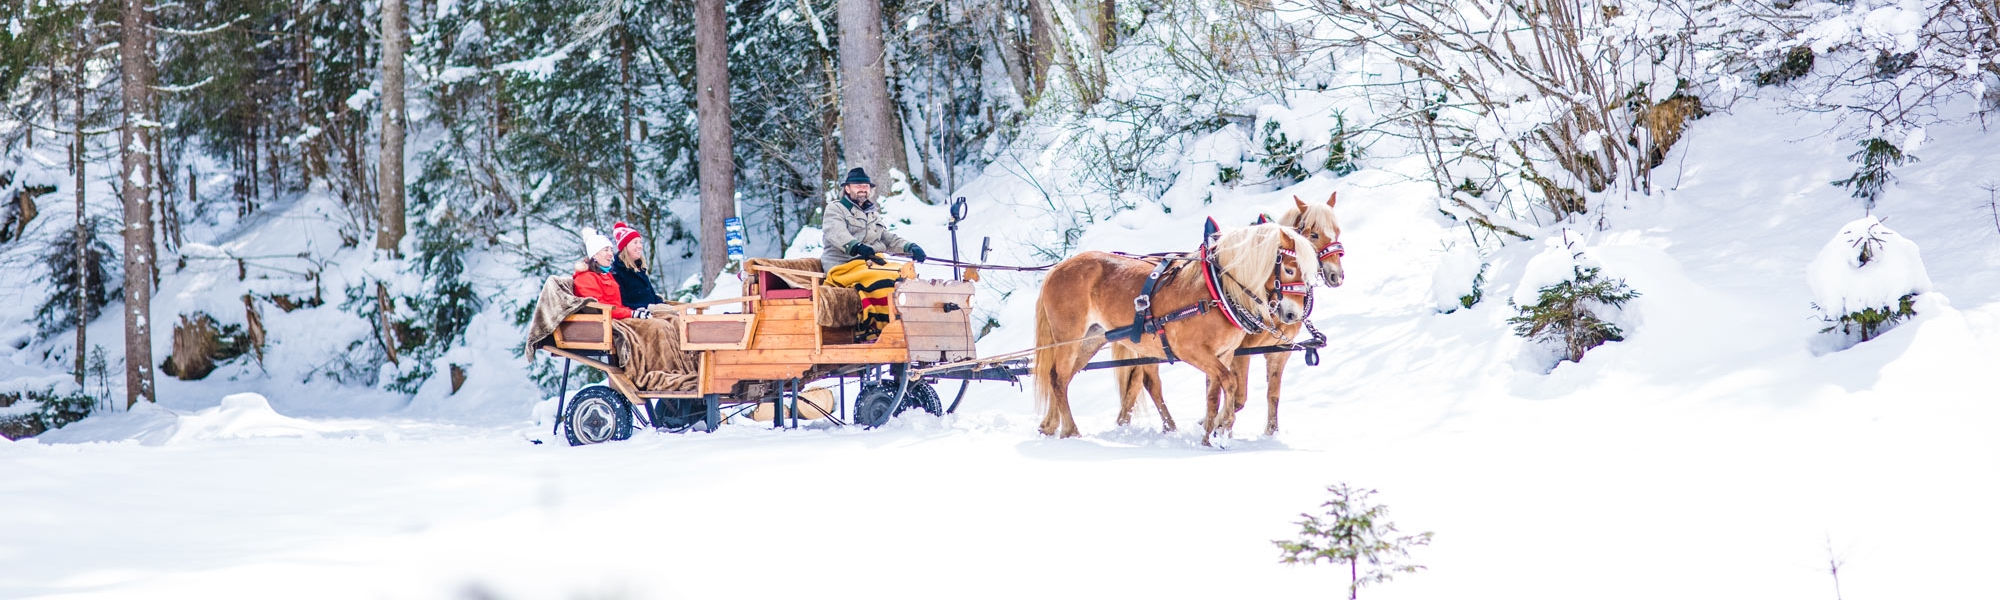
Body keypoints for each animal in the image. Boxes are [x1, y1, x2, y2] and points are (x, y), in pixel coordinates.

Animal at [1032, 223, 1312, 442]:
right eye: (1289, 269)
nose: (1293, 315)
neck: (1216, 291)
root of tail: (1057, 268)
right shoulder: (1191, 351)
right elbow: (1230, 383)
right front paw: (1223, 428)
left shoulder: (1223, 354)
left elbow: (1214, 394)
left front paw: (1209, 436)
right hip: (1069, 338)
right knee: (1058, 378)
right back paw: (1071, 430)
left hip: (1091, 338)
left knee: (1065, 377)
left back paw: (1051, 426)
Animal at [1112, 195, 1344, 434]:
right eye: (1314, 234)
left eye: (1337, 231)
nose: (1336, 275)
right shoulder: (1240, 351)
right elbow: (1238, 396)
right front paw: (1216, 425)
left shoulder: (1278, 351)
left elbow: (1272, 394)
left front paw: (1268, 431)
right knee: (1144, 382)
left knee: (1141, 381)